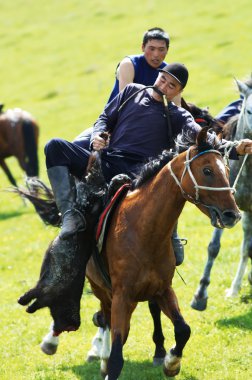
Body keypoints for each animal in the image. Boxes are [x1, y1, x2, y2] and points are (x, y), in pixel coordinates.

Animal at [18, 127, 241, 378]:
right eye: (207, 170)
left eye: (227, 170)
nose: (232, 214)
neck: (144, 231)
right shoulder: (122, 296)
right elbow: (117, 354)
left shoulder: (162, 289)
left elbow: (183, 329)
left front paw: (171, 362)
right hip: (101, 289)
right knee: (103, 316)